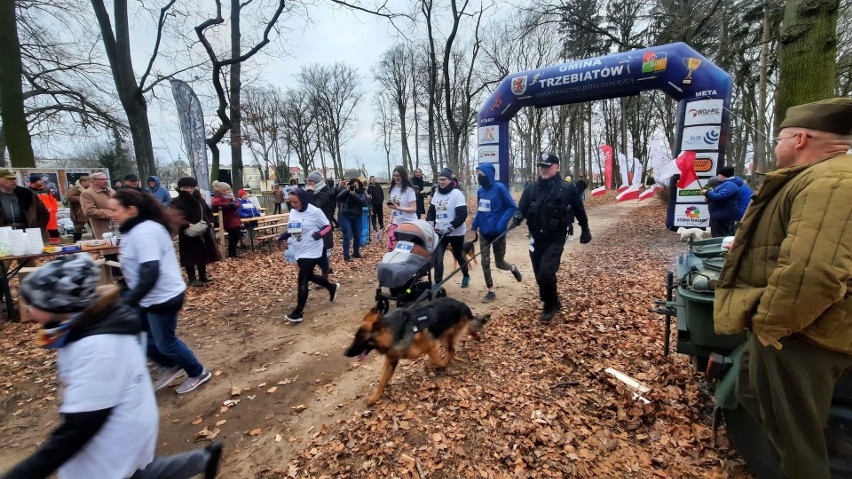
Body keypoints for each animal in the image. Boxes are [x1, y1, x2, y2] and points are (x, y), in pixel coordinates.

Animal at [344, 298, 490, 406]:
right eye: (355, 337)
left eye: (361, 338)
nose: (345, 353)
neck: (395, 331)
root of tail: (462, 304)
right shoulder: (391, 360)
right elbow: (382, 380)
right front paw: (375, 397)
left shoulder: (431, 347)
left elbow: (438, 362)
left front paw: (442, 365)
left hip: (444, 338)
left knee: (452, 350)